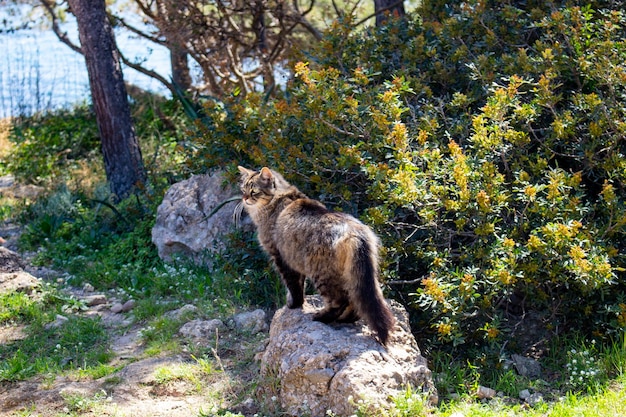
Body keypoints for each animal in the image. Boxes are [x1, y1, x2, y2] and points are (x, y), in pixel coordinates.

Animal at [236, 166, 392, 344]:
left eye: (253, 191)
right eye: (243, 190)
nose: (244, 198)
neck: (279, 198)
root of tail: (355, 233)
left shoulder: (281, 257)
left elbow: (294, 287)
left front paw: (293, 305)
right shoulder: (294, 260)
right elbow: (299, 285)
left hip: (321, 273)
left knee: (340, 301)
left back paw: (321, 317)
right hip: (352, 275)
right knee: (355, 303)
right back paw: (344, 319)